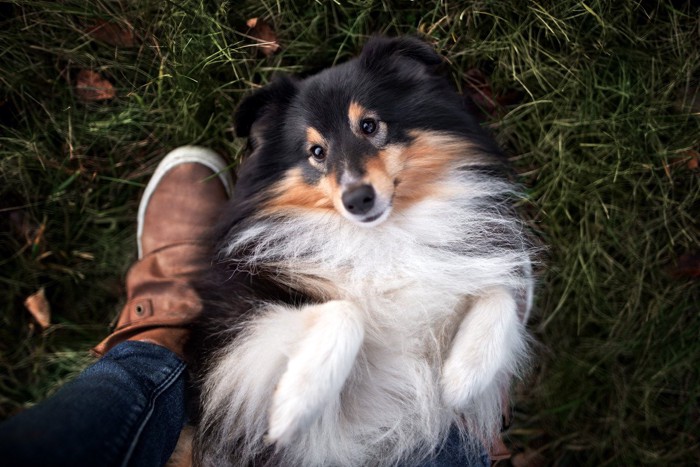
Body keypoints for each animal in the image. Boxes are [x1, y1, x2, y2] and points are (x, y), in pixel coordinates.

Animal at [187, 37, 536, 467]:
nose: (357, 199)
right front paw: (291, 407)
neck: (384, 236)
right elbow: (345, 311)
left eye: (369, 125)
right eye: (316, 151)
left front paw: (462, 378)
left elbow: (499, 294)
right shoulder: (233, 333)